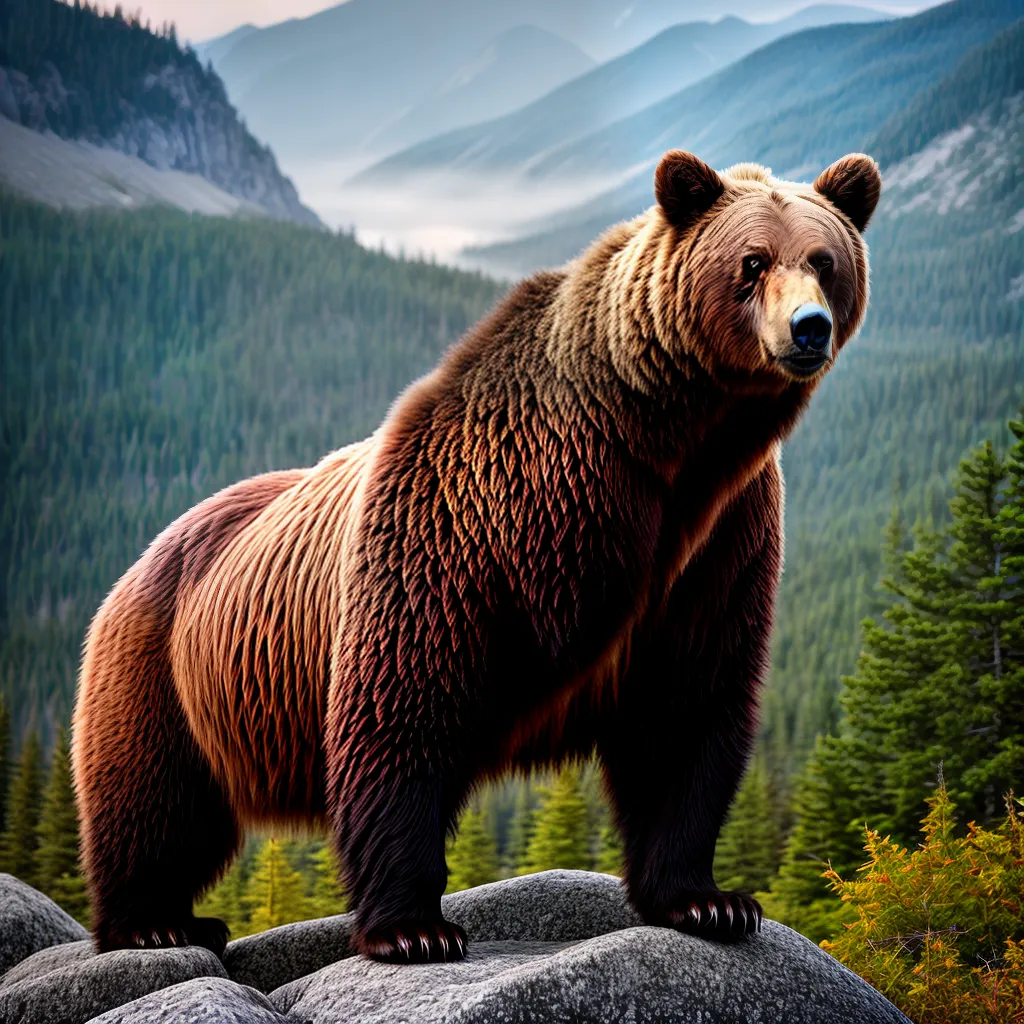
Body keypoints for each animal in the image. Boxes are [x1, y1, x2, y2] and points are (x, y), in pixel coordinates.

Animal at [72, 149, 881, 963]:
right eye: (753, 260)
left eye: (824, 260)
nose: (808, 327)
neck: (660, 443)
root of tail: (144, 555)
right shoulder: (464, 527)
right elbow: (404, 704)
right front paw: (414, 929)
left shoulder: (716, 543)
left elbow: (687, 706)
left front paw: (709, 902)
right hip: (168, 670)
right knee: (153, 797)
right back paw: (154, 920)